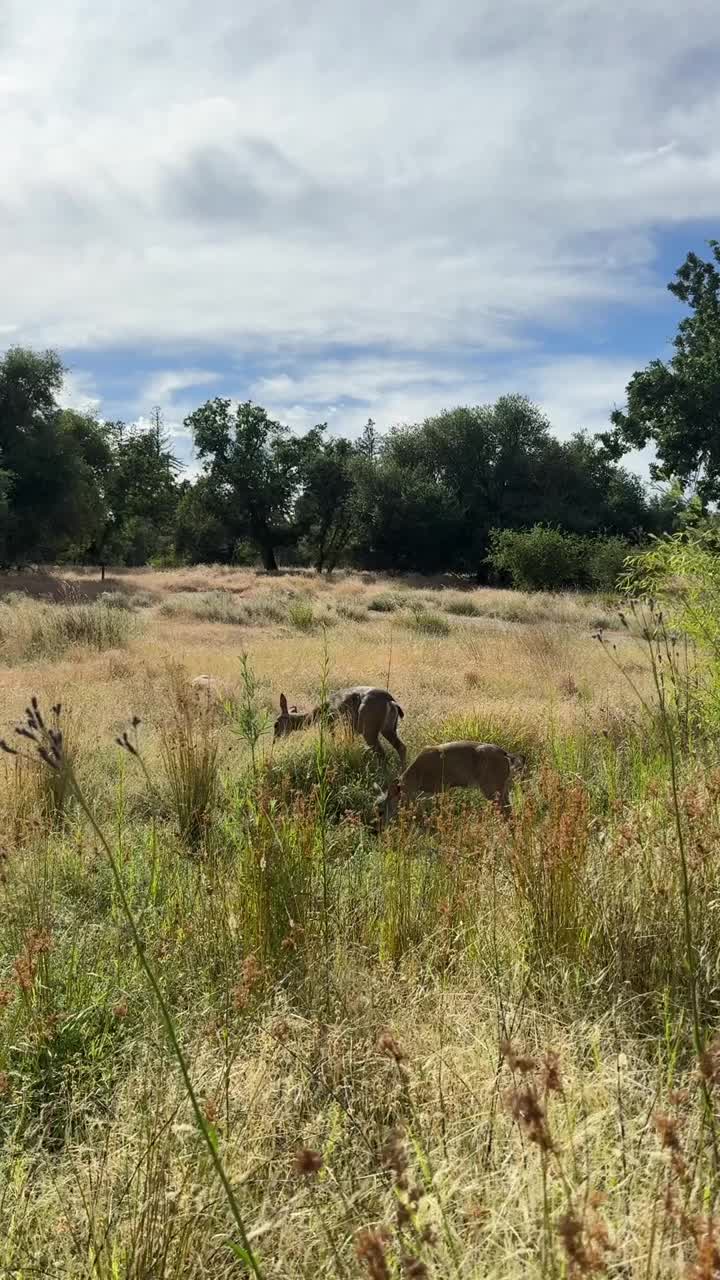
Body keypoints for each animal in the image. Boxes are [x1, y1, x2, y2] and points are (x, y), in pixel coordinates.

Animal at [270, 686, 404, 762]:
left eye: (275, 724)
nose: (274, 741)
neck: (316, 715)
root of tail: (391, 700)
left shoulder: (330, 725)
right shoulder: (348, 730)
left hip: (369, 727)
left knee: (382, 753)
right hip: (388, 728)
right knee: (401, 747)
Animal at [371, 742, 525, 829]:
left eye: (381, 811)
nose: (377, 829)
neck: (417, 776)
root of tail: (506, 754)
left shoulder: (441, 786)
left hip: (492, 787)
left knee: (506, 812)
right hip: (503, 788)